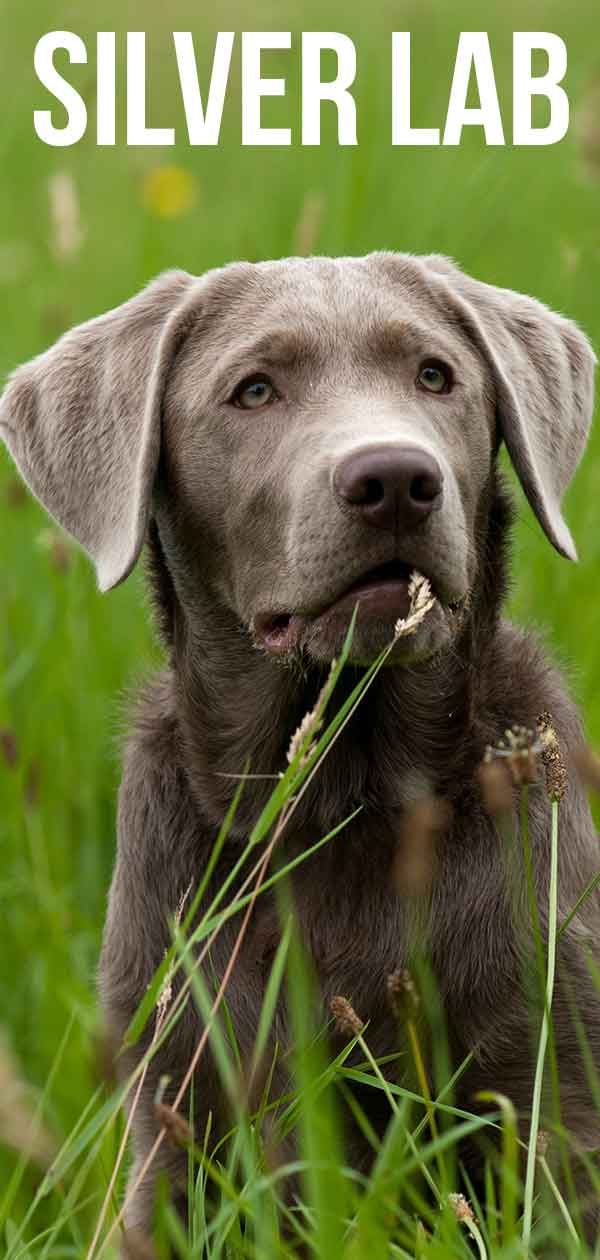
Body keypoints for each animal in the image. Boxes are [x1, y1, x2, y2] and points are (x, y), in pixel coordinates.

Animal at [1, 250, 600, 1234]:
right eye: (254, 391)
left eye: (435, 375)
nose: (395, 480)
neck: (344, 794)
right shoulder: (173, 1115)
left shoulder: (554, 1088)